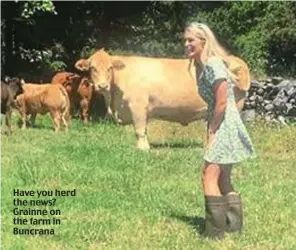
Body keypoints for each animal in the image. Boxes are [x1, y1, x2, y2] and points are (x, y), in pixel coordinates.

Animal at [75, 49, 251, 149]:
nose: (102, 86)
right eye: (93, 68)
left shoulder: (138, 107)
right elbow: (143, 130)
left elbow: (139, 130)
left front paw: (142, 148)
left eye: (110, 68)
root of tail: (236, 61)